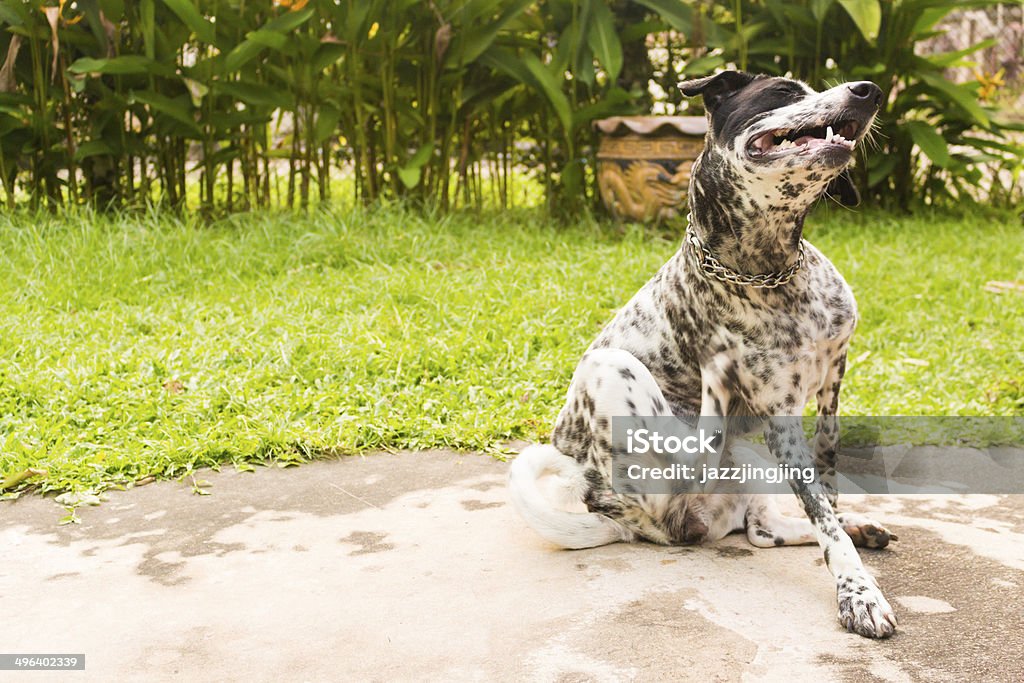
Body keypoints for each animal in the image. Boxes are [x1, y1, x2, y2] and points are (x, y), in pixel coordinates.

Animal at [507, 73, 901, 643]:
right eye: (784, 90)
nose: (868, 90)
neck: (774, 271)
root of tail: (616, 516)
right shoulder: (781, 415)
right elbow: (823, 519)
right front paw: (858, 593)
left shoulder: (833, 377)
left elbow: (824, 491)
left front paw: (846, 527)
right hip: (615, 373)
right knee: (699, 448)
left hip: (753, 464)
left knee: (762, 529)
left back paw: (856, 526)